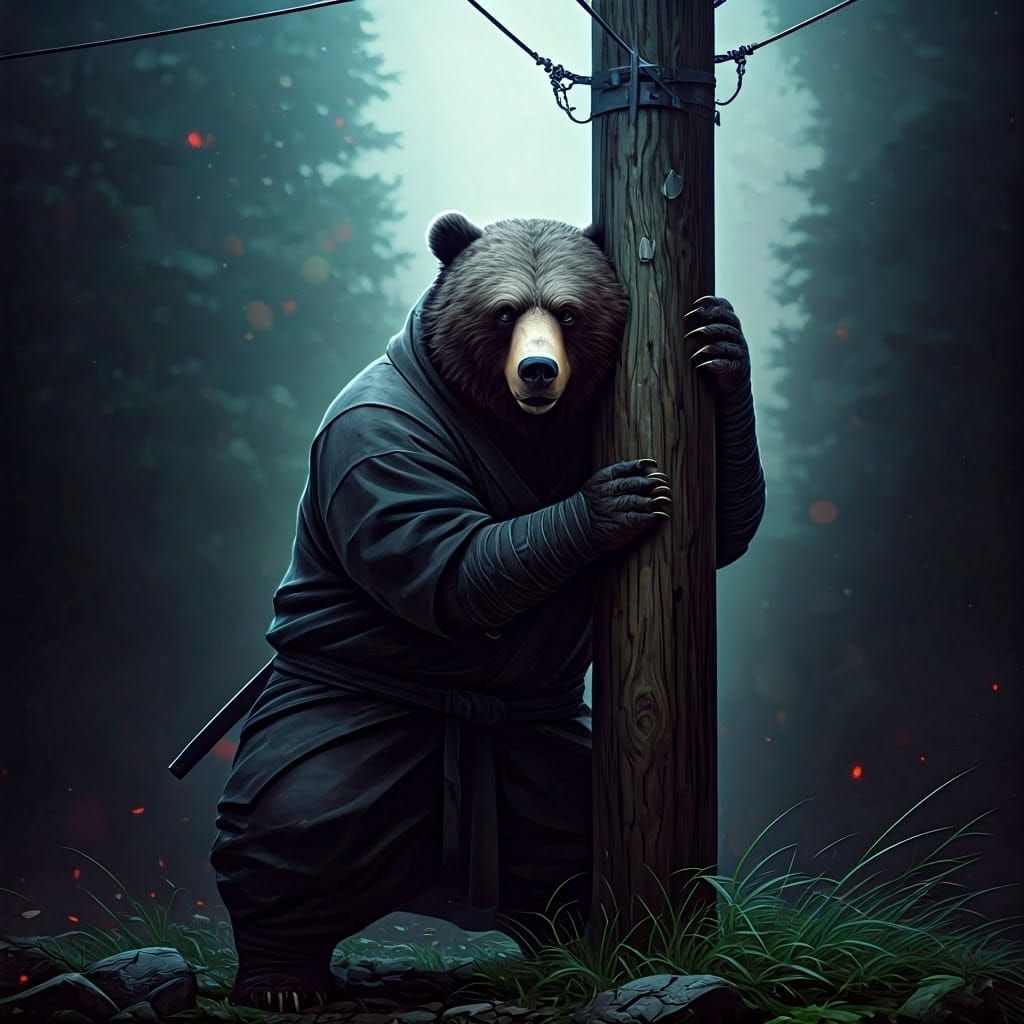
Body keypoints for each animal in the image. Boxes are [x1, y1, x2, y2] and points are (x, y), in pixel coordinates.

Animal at [209, 212, 766, 1013]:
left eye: (569, 313)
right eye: (504, 312)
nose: (538, 371)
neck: (517, 423)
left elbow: (722, 529)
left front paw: (722, 345)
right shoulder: (381, 446)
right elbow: (448, 565)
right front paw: (616, 498)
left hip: (537, 759)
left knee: (566, 838)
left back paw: (573, 939)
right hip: (351, 721)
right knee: (297, 816)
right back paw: (280, 976)